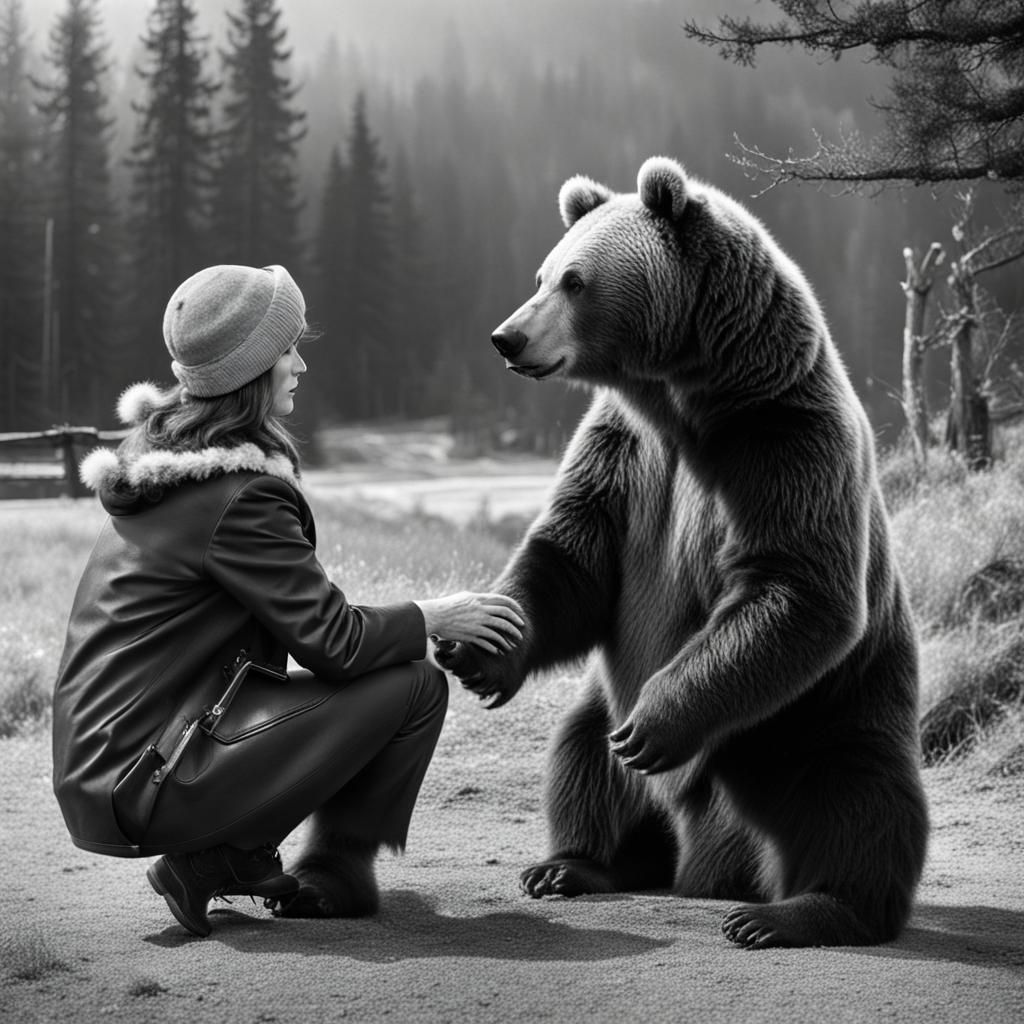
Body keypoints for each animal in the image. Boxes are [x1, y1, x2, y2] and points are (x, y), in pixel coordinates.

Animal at [437, 156, 929, 949]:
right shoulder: (624, 453)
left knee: (855, 796)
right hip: (610, 702)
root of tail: (709, 858)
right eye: (542, 274)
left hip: (818, 715)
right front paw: (481, 650)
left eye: (574, 280)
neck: (683, 401)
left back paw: (793, 911)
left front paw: (658, 723)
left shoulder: (781, 443)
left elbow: (793, 585)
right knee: (583, 758)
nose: (507, 337)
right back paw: (576, 864)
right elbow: (571, 557)